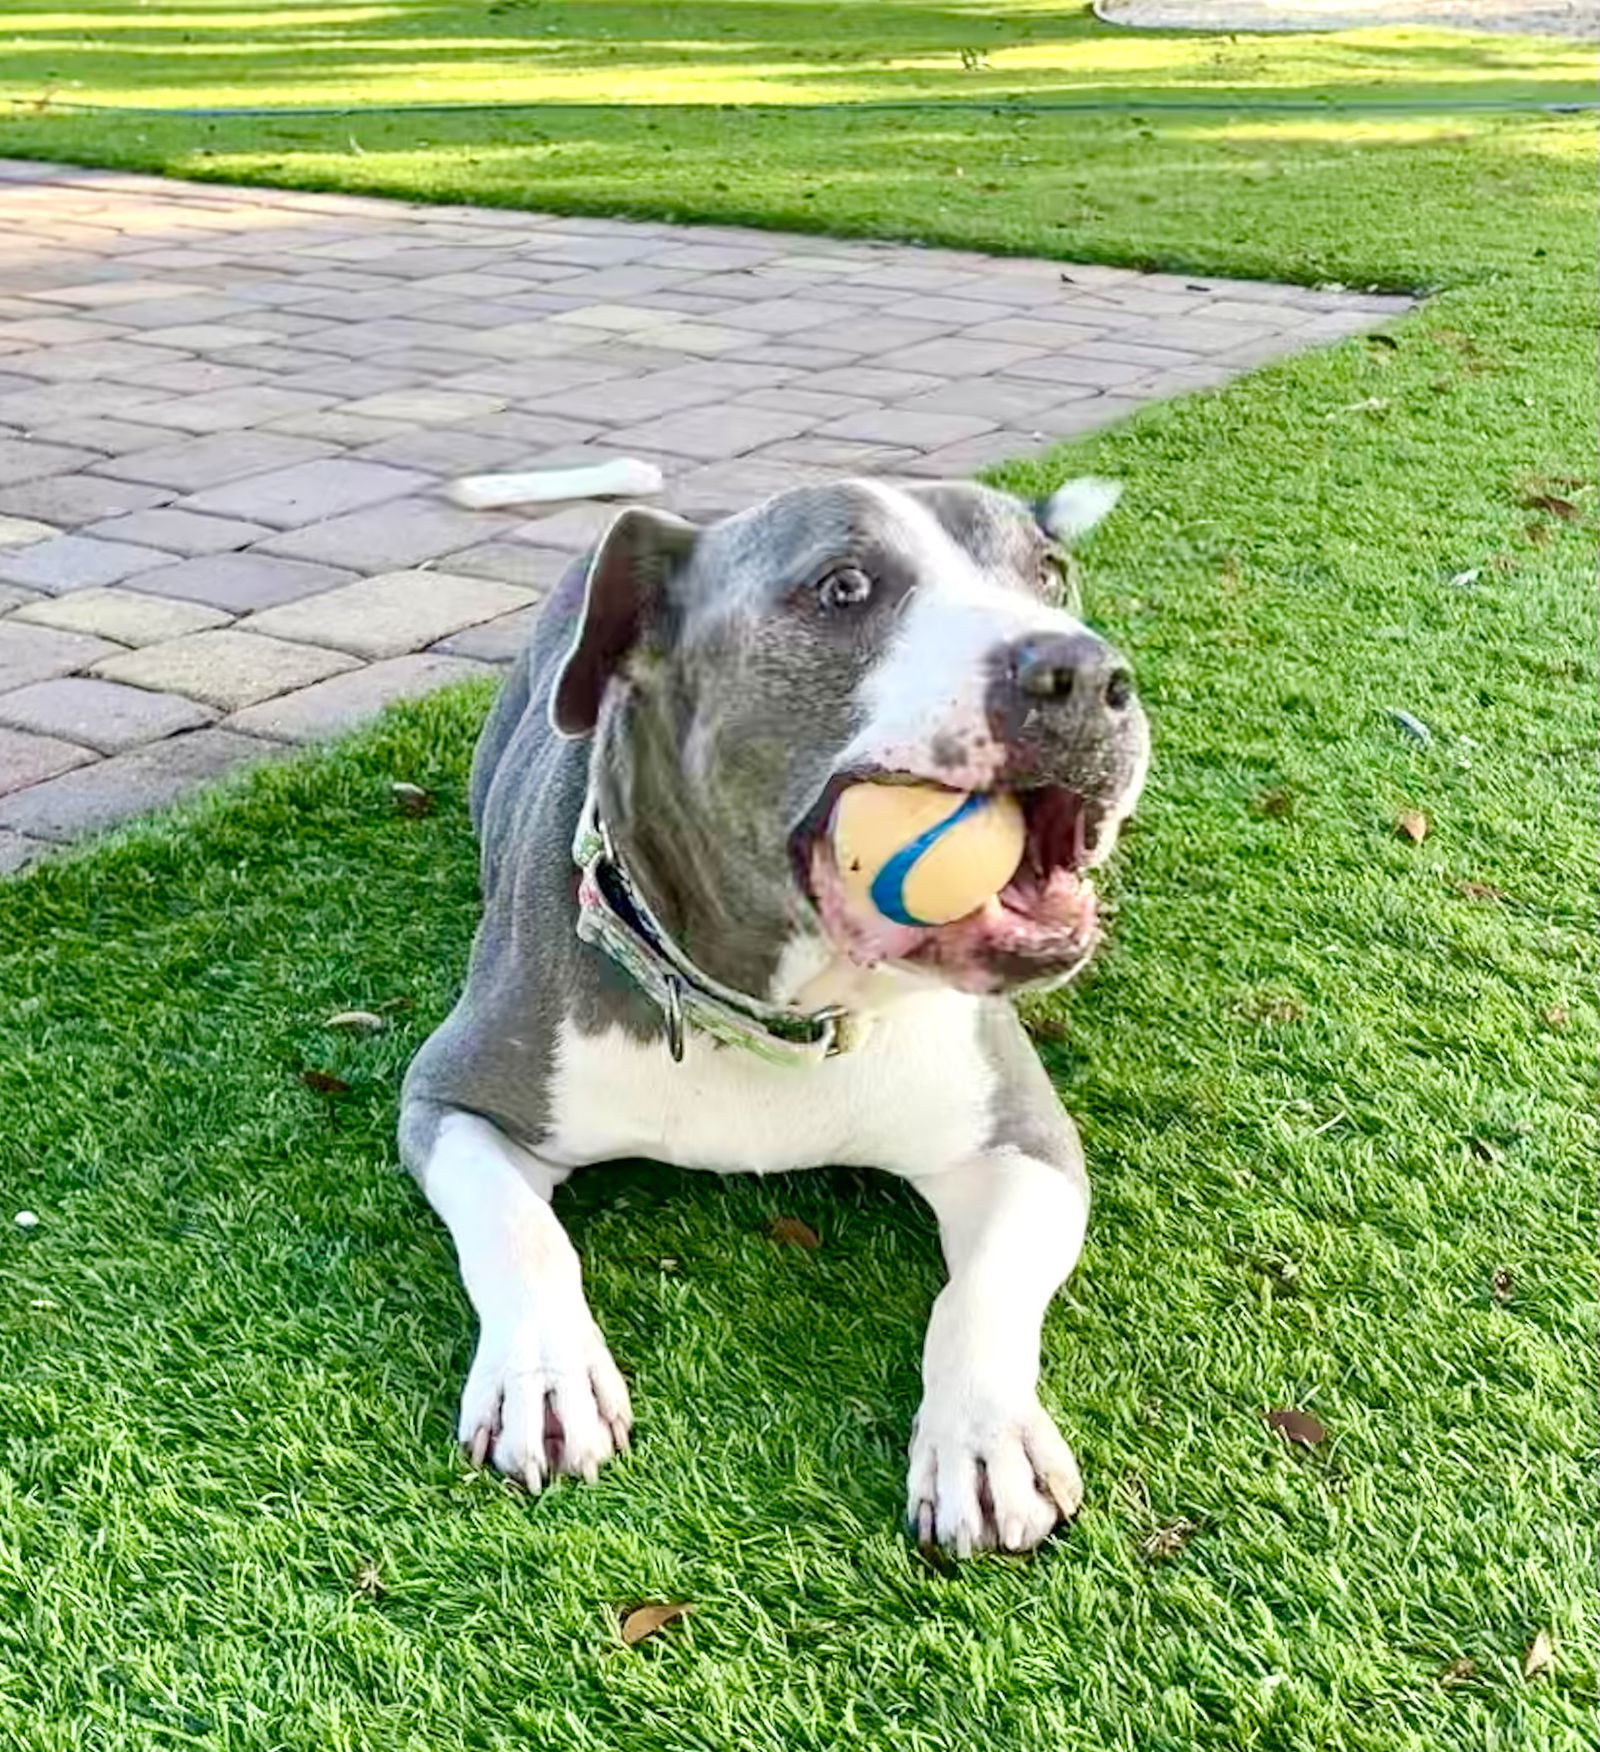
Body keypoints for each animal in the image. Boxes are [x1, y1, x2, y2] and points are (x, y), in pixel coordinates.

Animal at [399, 473, 1149, 1555]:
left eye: (1048, 572)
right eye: (843, 587)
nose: (1084, 673)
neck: (775, 1013)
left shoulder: (1025, 1144)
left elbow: (983, 1289)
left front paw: (983, 1437)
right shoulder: (451, 1098)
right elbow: (515, 1226)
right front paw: (544, 1377)